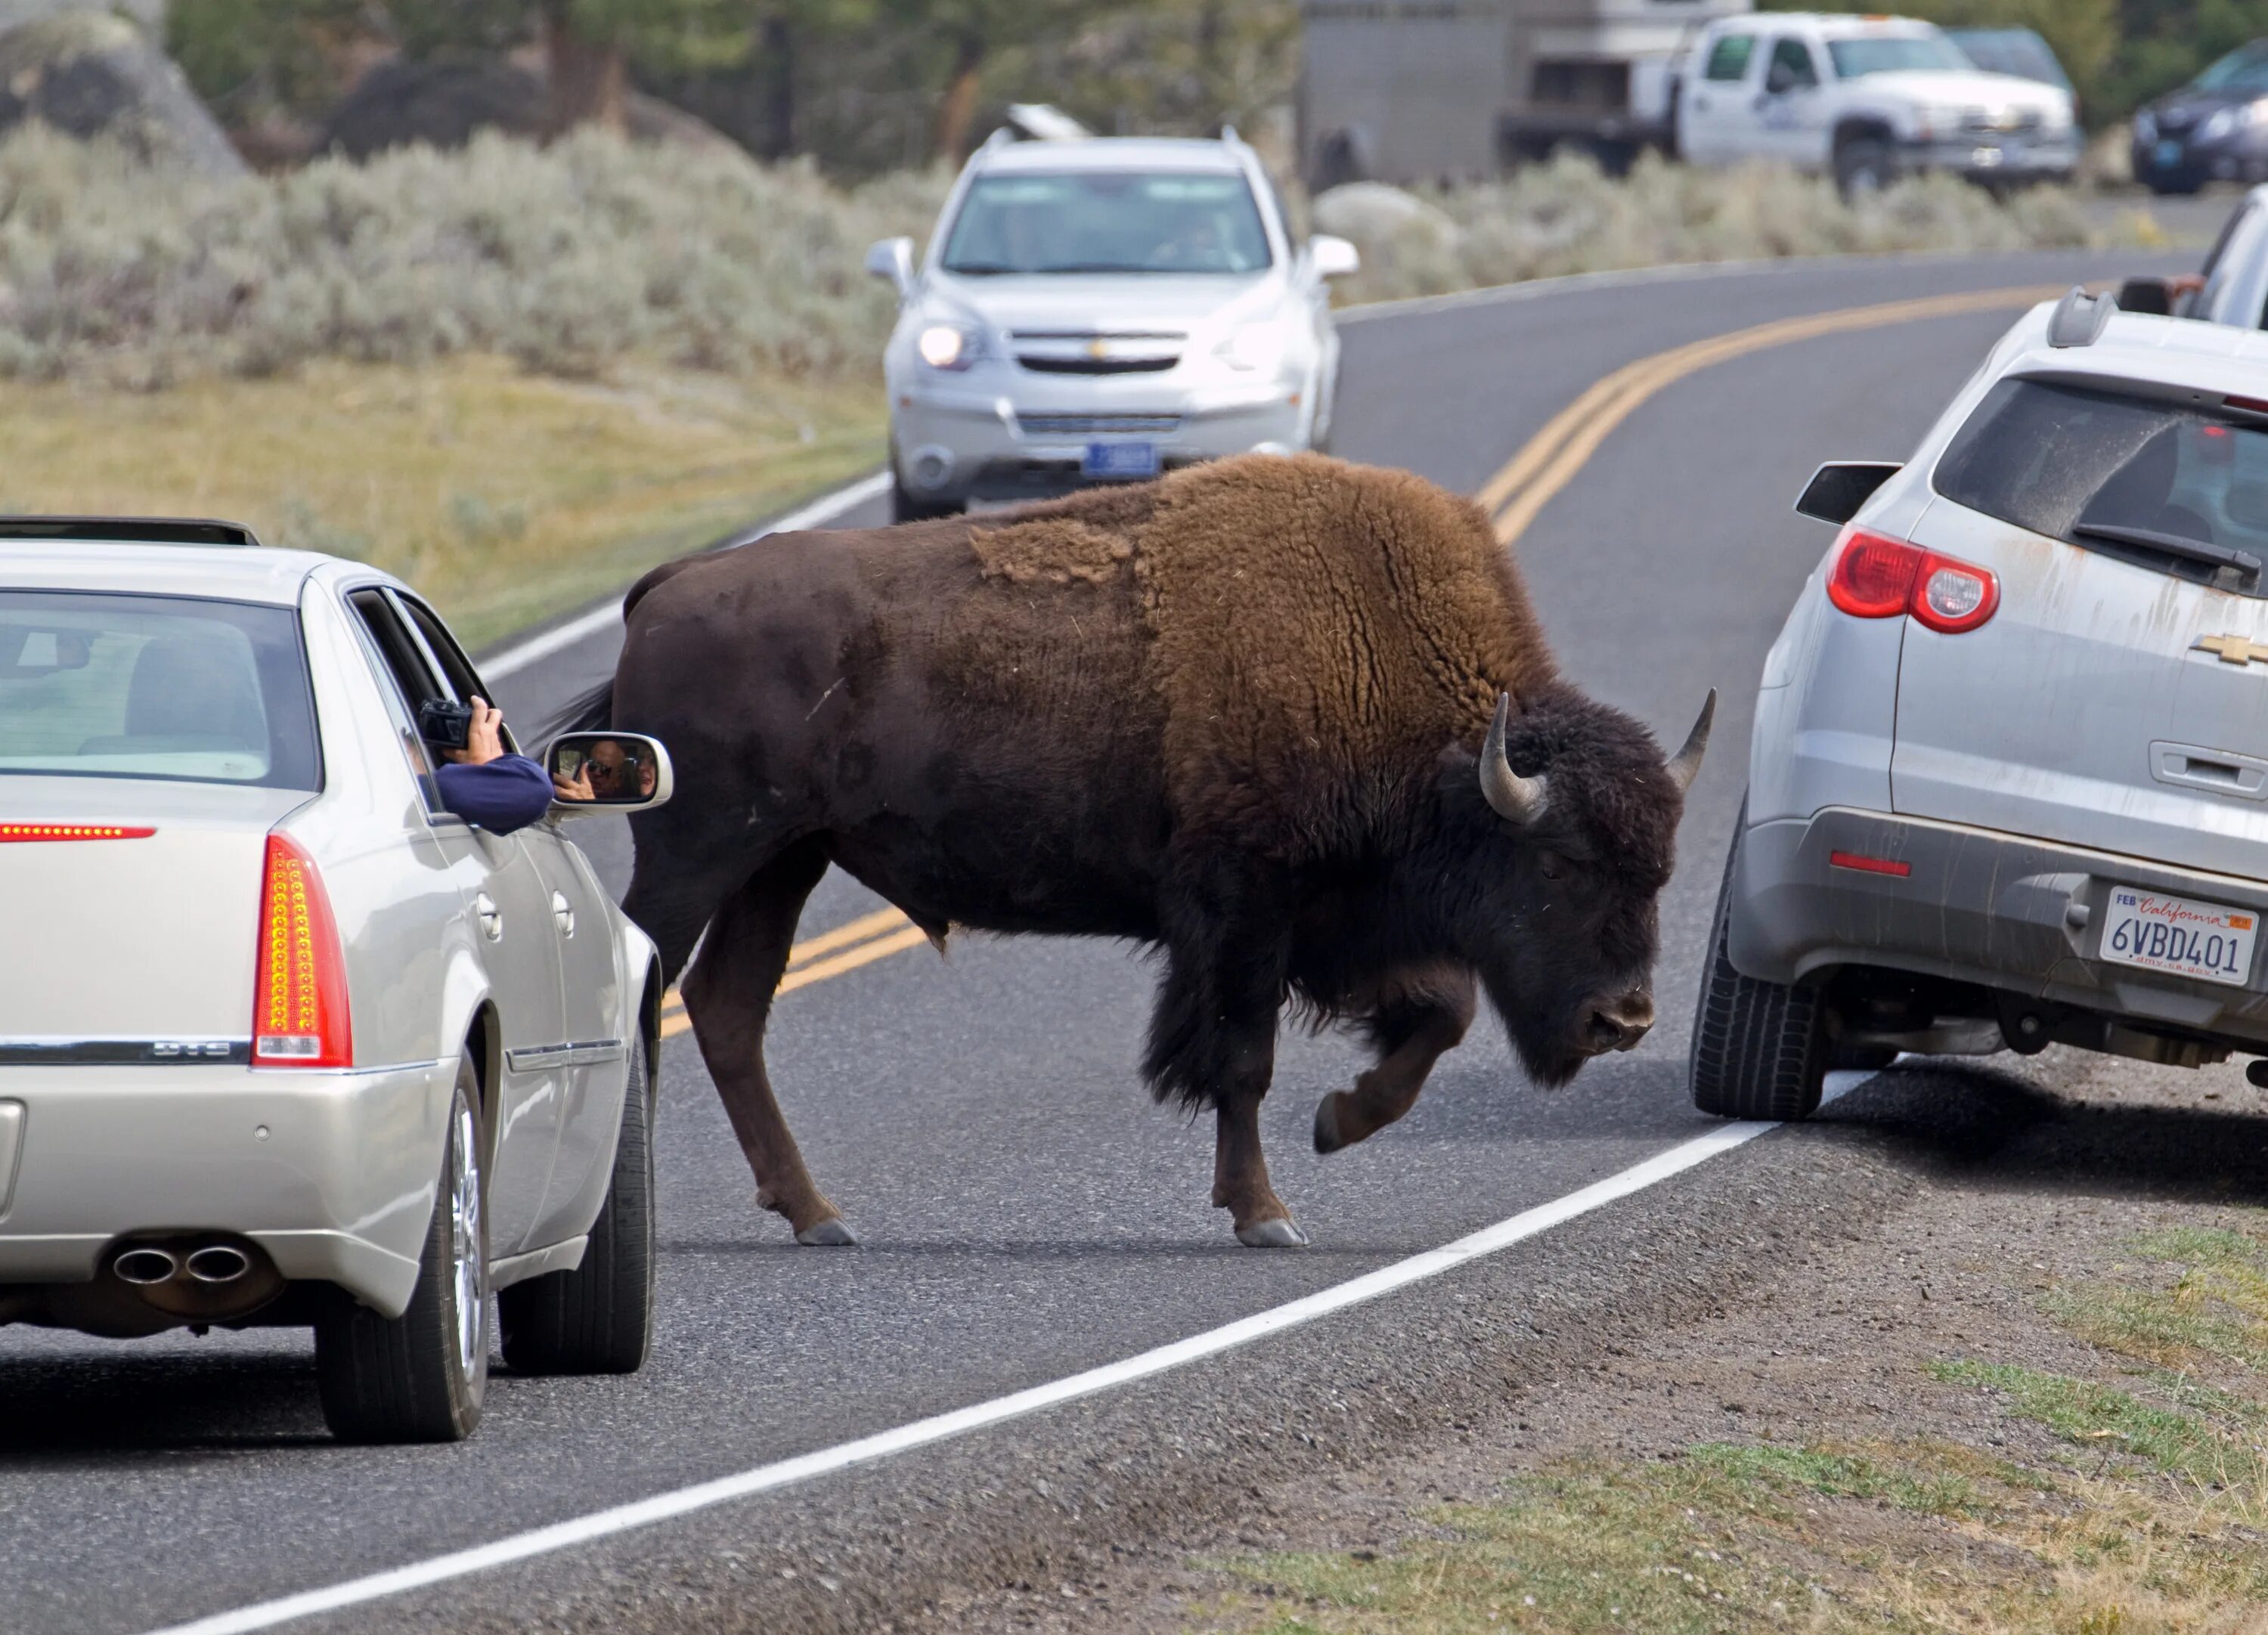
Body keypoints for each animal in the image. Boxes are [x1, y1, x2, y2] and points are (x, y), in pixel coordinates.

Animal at [562, 454, 1706, 1243]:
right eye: (1560, 863)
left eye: (1659, 870)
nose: (1623, 1019)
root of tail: (668, 584)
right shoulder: (1246, 915)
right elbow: (1242, 1062)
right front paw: (1266, 1213)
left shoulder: (1346, 928)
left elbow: (1439, 1017)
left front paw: (1338, 1121)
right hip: (700, 856)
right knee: (658, 992)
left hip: (782, 862)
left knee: (727, 1007)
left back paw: (819, 1215)